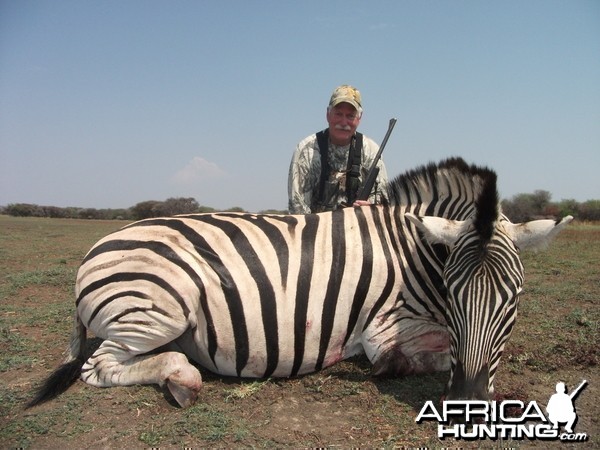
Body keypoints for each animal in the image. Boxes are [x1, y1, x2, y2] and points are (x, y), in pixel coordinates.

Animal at [28, 157, 572, 408]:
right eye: (455, 295)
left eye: (514, 300)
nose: (467, 401)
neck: (414, 250)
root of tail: (95, 249)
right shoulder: (385, 328)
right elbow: (418, 356)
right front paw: (390, 367)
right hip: (157, 309)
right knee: (99, 366)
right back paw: (182, 379)